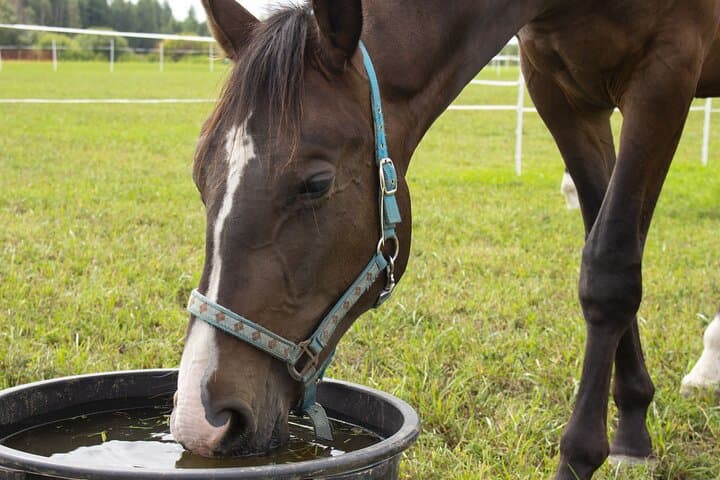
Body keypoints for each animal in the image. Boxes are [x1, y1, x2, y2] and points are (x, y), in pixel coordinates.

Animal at [169, 0, 720, 478]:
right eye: (199, 173)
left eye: (316, 183)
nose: (202, 421)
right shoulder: (560, 92)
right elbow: (605, 239)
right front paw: (633, 426)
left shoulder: (666, 72)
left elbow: (611, 265)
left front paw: (583, 455)